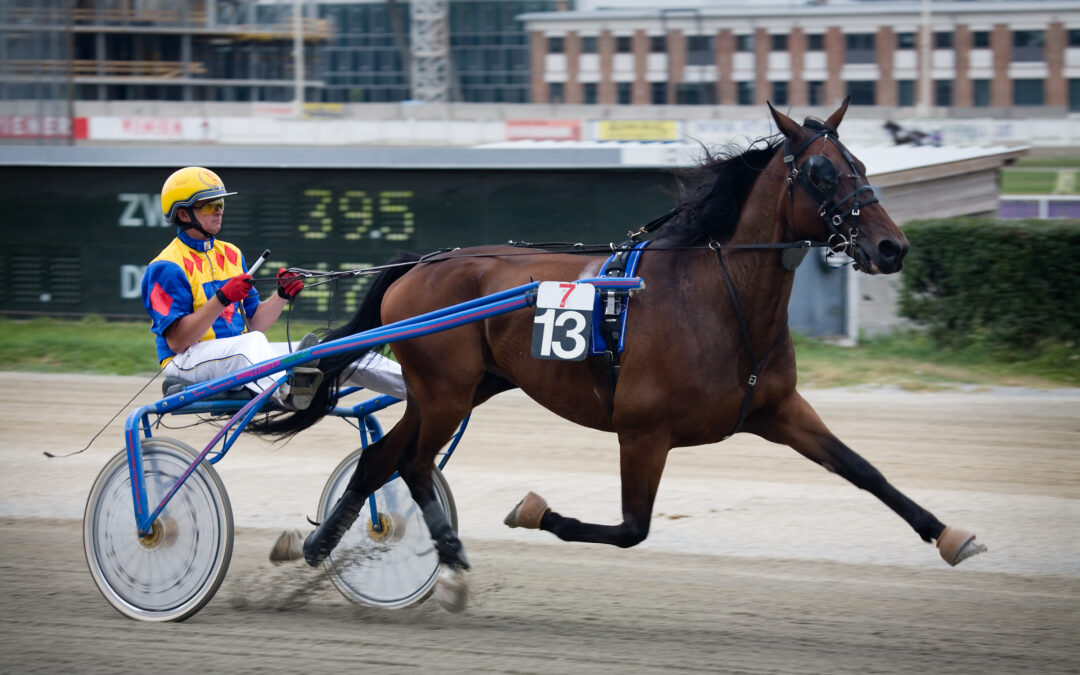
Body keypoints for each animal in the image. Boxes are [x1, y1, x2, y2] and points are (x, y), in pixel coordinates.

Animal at [257, 101, 984, 609]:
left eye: (860, 164)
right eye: (821, 172)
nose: (892, 248)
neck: (717, 297)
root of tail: (423, 261)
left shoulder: (777, 409)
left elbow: (864, 470)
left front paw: (950, 535)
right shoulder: (643, 432)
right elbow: (632, 528)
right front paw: (532, 510)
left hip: (462, 388)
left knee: (383, 458)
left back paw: (323, 544)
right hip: (445, 389)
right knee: (409, 462)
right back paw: (436, 554)